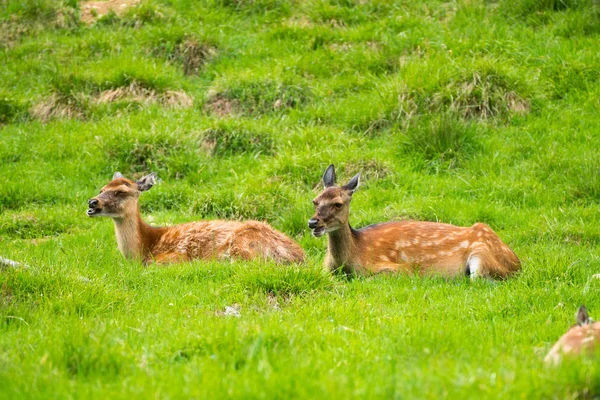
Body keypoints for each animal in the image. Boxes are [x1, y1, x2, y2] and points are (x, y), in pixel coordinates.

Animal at [88, 172, 304, 266]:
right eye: (102, 188)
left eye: (121, 191)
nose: (92, 203)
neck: (145, 245)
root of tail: (298, 256)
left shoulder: (174, 256)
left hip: (244, 243)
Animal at [310, 165, 520, 278]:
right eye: (315, 200)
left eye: (338, 204)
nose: (313, 223)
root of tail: (518, 263)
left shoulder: (401, 270)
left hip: (481, 257)